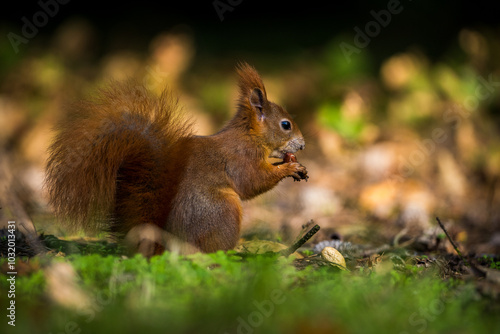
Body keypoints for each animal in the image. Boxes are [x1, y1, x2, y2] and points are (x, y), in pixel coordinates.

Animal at [46, 62, 308, 256]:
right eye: (286, 125)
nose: (303, 144)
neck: (250, 136)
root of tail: (167, 246)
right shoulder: (241, 158)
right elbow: (253, 182)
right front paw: (289, 168)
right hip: (224, 209)